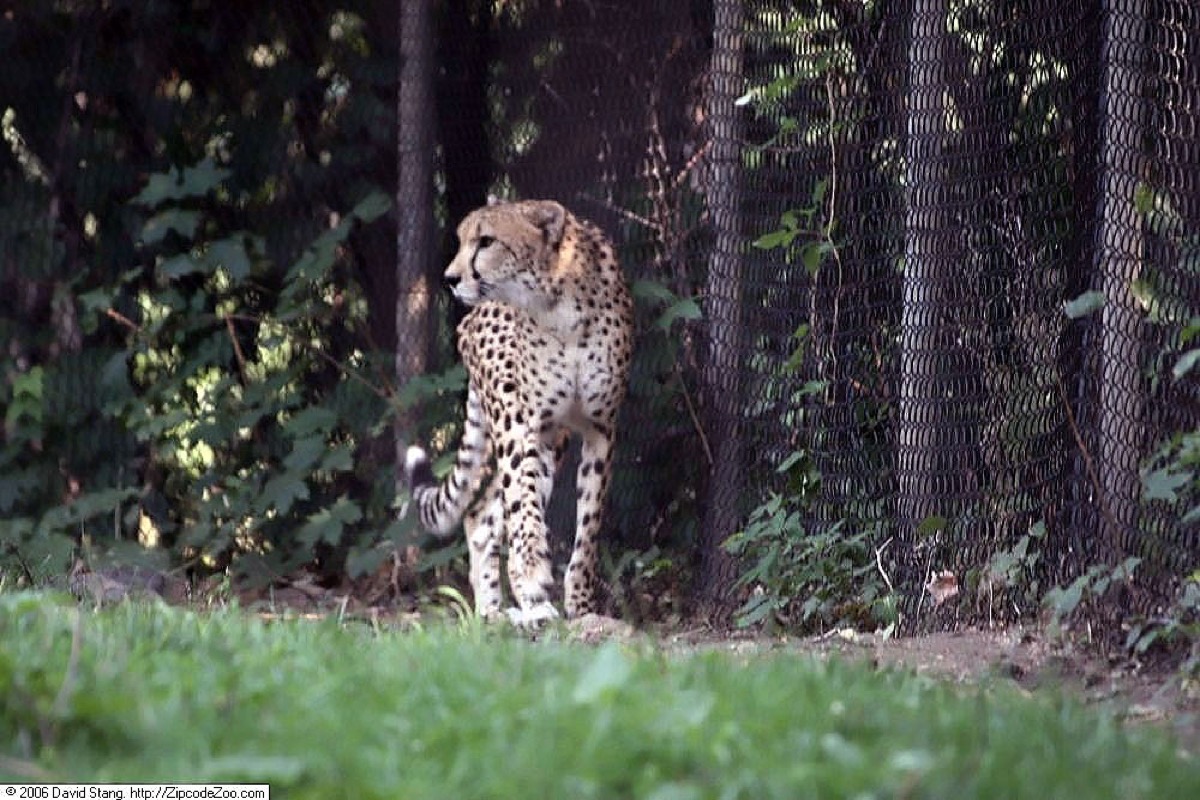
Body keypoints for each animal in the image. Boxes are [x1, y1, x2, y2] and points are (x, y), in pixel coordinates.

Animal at [404, 199, 634, 627]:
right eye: (462, 239)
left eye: (486, 241)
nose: (451, 279)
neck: (559, 305)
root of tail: (469, 319)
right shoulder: (525, 425)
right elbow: (524, 511)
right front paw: (532, 578)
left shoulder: (600, 428)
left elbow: (589, 524)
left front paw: (581, 606)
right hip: (517, 422)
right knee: (493, 510)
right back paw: (516, 609)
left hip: (554, 442)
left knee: (481, 516)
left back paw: (495, 612)